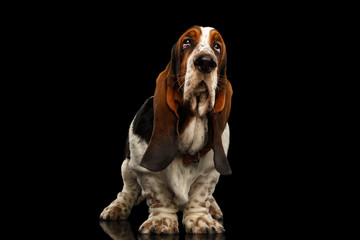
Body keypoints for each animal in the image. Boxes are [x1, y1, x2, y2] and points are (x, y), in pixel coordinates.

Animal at [100, 26, 232, 234]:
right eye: (187, 42)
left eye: (217, 46)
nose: (205, 62)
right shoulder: (145, 172)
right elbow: (159, 196)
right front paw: (162, 222)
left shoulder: (210, 174)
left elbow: (200, 195)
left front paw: (201, 219)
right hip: (126, 166)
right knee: (127, 190)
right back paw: (116, 208)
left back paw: (213, 207)